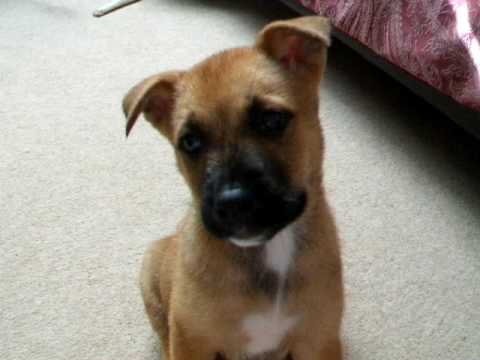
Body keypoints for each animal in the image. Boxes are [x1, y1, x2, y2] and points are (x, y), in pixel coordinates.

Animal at [122, 16, 344, 360]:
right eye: (190, 142)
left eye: (272, 119)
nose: (233, 203)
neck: (271, 250)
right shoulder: (191, 340)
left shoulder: (319, 340)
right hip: (151, 276)